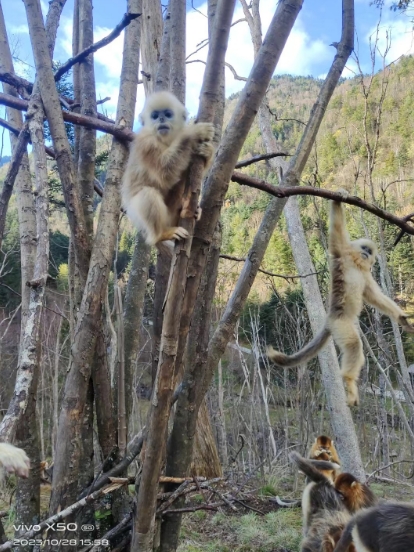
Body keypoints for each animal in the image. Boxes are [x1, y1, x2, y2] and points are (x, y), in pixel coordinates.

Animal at [121, 91, 215, 248]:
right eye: (154, 116)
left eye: (168, 114)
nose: (161, 119)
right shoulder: (147, 144)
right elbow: (164, 172)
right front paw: (193, 133)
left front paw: (207, 151)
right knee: (148, 194)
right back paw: (162, 234)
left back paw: (194, 211)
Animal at [268, 199, 414, 406]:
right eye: (364, 248)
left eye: (369, 251)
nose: (366, 253)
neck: (356, 263)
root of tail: (330, 318)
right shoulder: (342, 252)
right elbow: (337, 231)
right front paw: (338, 198)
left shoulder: (366, 275)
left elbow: (376, 297)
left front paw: (402, 318)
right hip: (341, 325)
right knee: (353, 344)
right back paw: (349, 381)